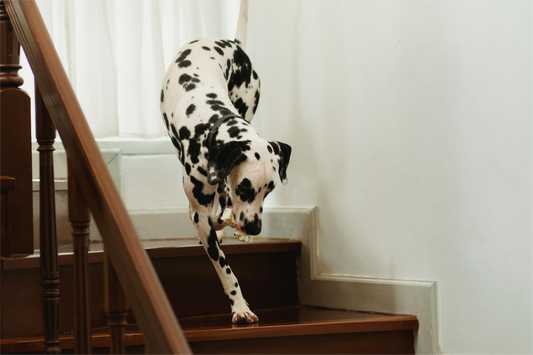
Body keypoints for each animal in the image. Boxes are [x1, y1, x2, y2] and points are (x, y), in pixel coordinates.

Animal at [159, 0, 290, 326]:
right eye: (245, 188)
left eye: (270, 190)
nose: (254, 228)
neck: (208, 122)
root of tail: (232, 43)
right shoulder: (200, 212)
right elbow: (225, 269)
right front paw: (239, 306)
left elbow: (220, 213)